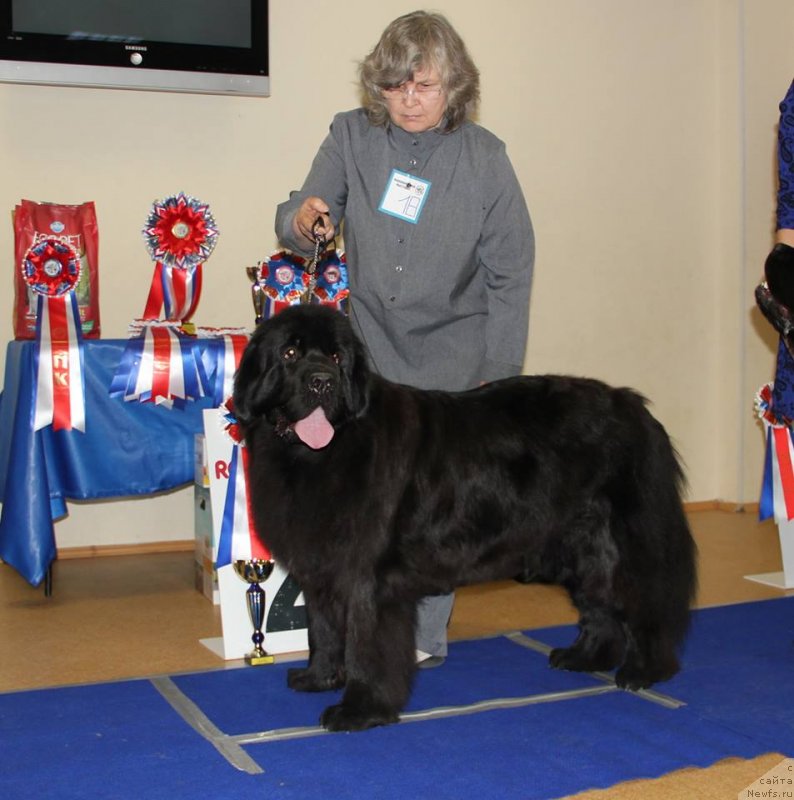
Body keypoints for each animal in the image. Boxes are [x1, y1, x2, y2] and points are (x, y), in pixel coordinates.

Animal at [234, 304, 692, 732]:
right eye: (290, 353)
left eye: (335, 356)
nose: (322, 381)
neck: (326, 451)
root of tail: (637, 409)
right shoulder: (323, 568)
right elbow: (323, 629)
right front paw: (319, 677)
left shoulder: (368, 578)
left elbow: (365, 644)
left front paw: (360, 709)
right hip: (580, 547)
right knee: (601, 606)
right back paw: (585, 656)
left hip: (622, 545)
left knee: (646, 604)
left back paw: (643, 671)